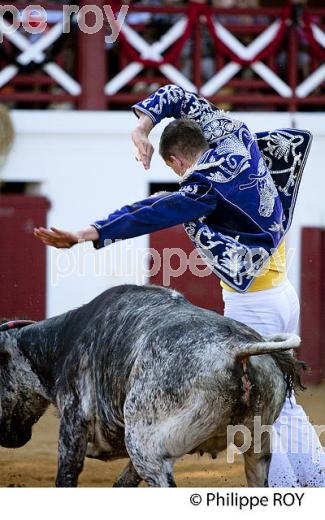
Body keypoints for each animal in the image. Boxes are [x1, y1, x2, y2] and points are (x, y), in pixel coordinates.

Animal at [0, 284, 304, 488]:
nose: (6, 438)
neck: (62, 342)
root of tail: (236, 347)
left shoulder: (74, 419)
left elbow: (67, 474)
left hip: (147, 451)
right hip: (258, 449)